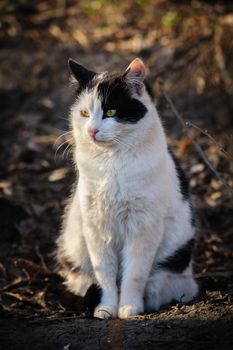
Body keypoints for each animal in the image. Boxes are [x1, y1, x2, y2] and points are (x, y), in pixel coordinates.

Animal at [56, 58, 198, 320]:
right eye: (84, 113)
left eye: (111, 112)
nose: (92, 130)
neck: (111, 163)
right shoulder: (96, 227)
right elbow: (105, 276)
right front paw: (106, 309)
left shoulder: (144, 226)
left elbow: (135, 273)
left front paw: (129, 308)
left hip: (172, 270)